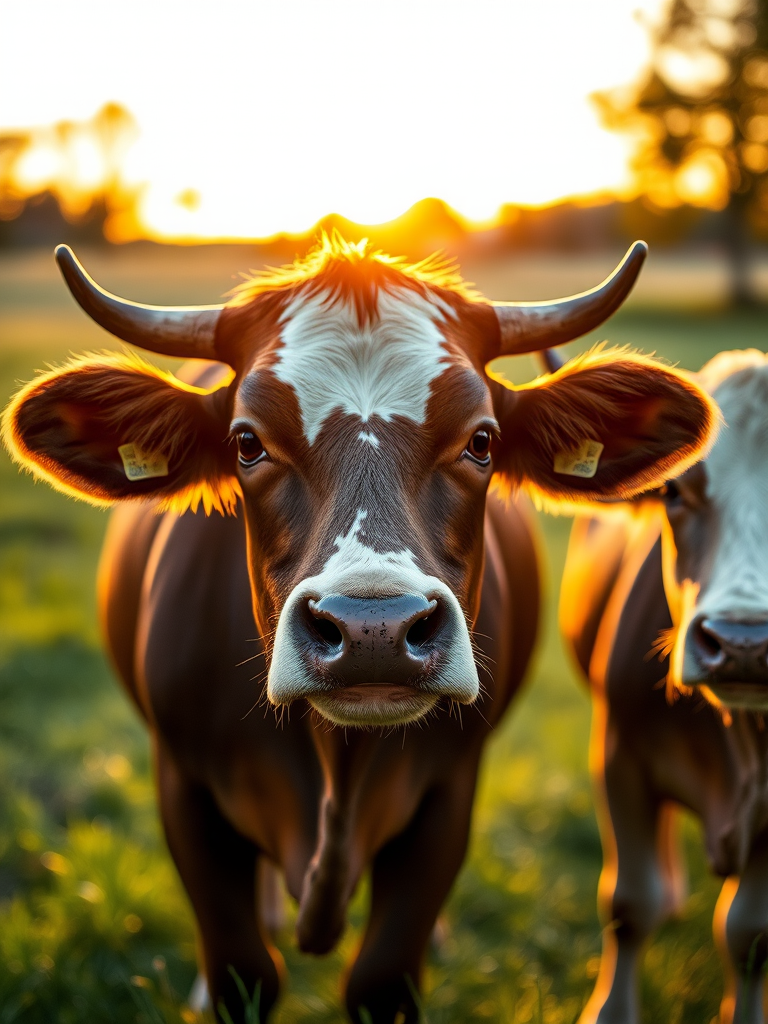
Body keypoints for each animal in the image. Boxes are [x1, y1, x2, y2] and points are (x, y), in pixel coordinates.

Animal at [2, 235, 717, 1024]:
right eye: (247, 443)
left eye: (482, 442)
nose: (374, 629)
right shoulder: (184, 786)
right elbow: (243, 971)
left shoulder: (447, 794)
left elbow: (382, 978)